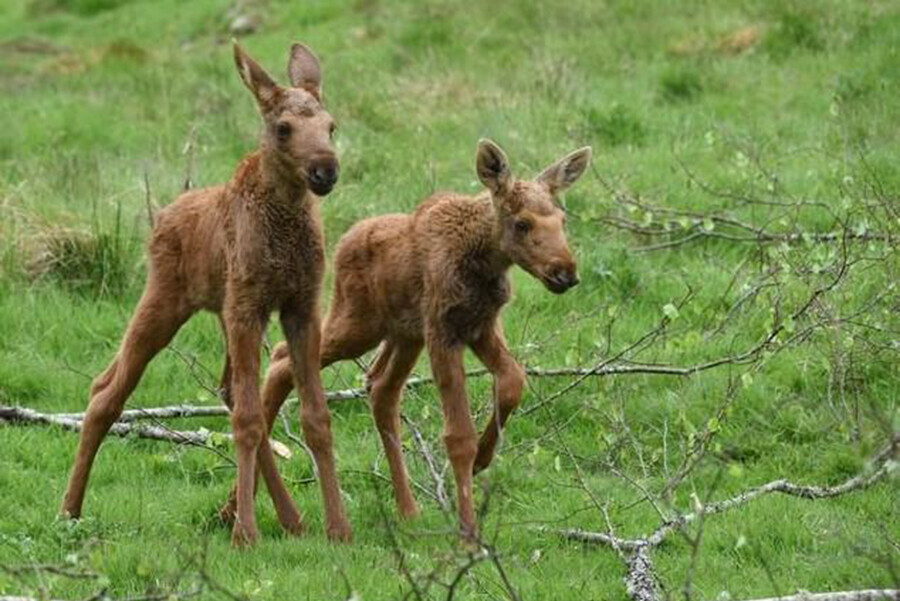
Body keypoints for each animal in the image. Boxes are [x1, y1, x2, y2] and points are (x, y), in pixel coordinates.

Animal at [60, 42, 352, 548]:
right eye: (283, 128)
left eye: (331, 126)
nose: (325, 171)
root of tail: (161, 216)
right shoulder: (249, 307)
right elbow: (251, 420)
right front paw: (245, 534)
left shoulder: (299, 306)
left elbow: (315, 417)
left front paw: (338, 527)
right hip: (167, 300)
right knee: (105, 392)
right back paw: (70, 509)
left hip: (223, 309)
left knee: (226, 391)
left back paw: (291, 518)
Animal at [253, 139, 592, 540]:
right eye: (522, 223)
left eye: (562, 221)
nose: (565, 272)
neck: (485, 261)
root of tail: (343, 242)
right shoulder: (443, 331)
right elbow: (457, 436)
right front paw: (468, 531)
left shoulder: (480, 326)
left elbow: (513, 380)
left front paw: (483, 458)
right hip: (358, 323)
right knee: (281, 358)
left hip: (404, 334)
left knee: (379, 388)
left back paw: (406, 509)